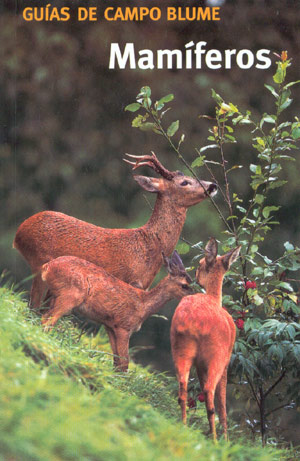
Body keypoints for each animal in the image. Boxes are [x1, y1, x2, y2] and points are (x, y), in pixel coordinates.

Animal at [14, 152, 217, 310]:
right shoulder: (130, 280)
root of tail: (19, 233)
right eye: (184, 182)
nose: (212, 185)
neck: (147, 246)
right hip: (39, 261)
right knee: (33, 306)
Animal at [39, 248, 193, 370]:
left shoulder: (110, 326)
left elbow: (116, 360)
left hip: (55, 294)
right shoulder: (123, 326)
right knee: (47, 320)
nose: (194, 296)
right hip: (70, 295)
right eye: (184, 285)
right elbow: (125, 362)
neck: (143, 305)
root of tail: (46, 267)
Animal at [170, 239, 240, 440]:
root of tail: (193, 323)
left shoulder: (200, 364)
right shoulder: (226, 360)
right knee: (210, 392)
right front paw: (226, 439)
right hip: (217, 355)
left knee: (183, 389)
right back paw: (216, 440)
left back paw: (184, 426)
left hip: (180, 347)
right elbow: (222, 402)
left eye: (199, 265)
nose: (195, 277)